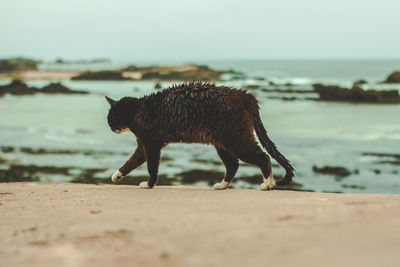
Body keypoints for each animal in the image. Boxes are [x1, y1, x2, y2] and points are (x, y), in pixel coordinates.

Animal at [106, 81, 294, 191]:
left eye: (110, 119)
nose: (111, 128)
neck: (137, 110)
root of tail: (244, 95)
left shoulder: (151, 143)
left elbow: (151, 166)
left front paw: (149, 184)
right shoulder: (144, 144)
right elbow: (131, 161)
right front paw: (117, 175)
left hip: (235, 138)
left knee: (263, 157)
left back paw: (267, 184)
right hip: (222, 141)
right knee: (233, 164)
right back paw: (222, 185)